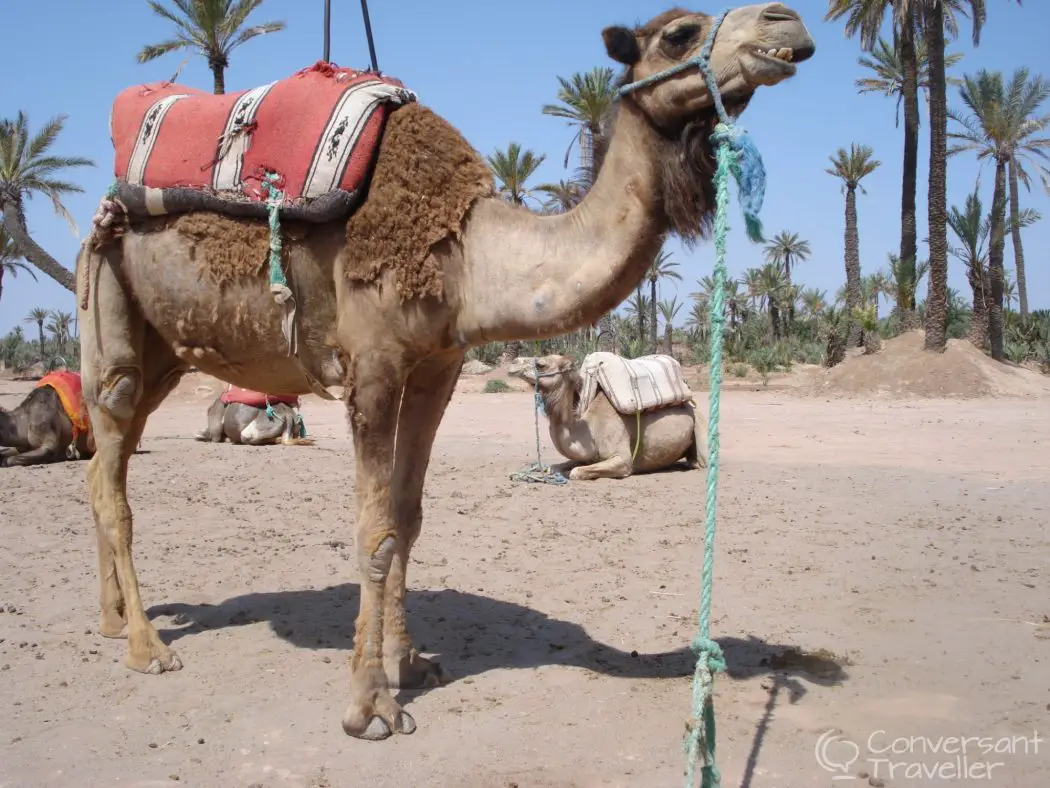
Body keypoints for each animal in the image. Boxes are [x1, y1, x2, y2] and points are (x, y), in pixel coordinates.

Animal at [509, 354, 706, 480]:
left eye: (541, 364)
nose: (513, 363)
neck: (589, 428)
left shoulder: (622, 460)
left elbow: (576, 472)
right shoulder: (587, 456)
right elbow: (554, 467)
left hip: (699, 422)